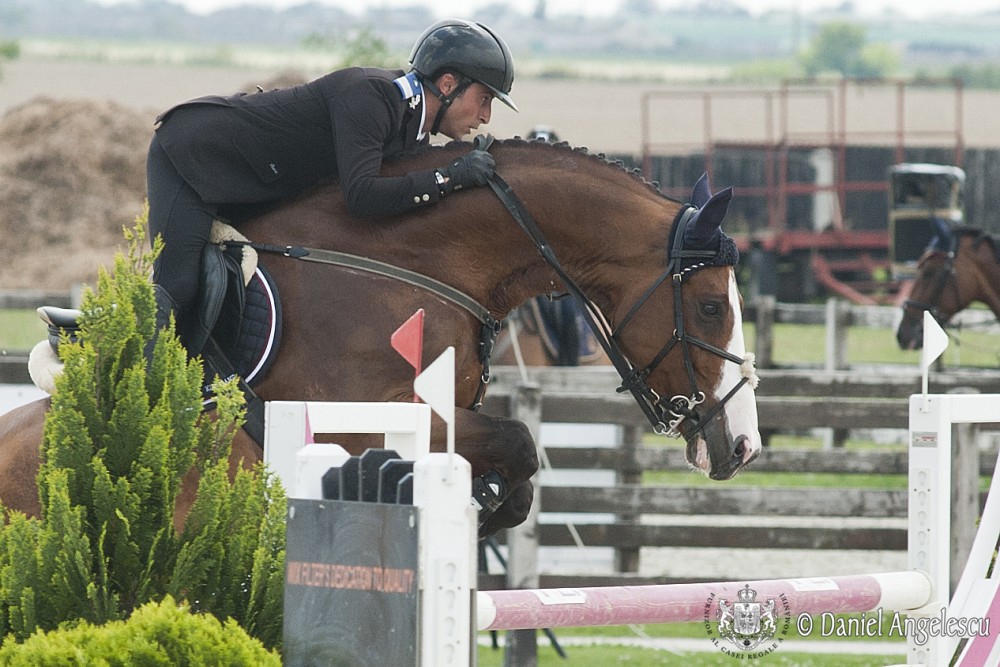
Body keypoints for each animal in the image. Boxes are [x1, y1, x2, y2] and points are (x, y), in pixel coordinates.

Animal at [0, 138, 762, 536]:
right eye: (709, 308)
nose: (743, 447)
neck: (415, 260)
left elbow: (516, 466)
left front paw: (481, 506)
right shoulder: (366, 419)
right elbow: (517, 440)